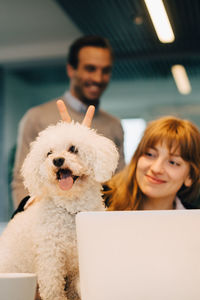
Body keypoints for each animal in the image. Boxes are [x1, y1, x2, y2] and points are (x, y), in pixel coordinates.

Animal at [0, 120, 118, 298]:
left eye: (73, 149)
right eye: (49, 153)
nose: (57, 160)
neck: (71, 210)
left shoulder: (77, 264)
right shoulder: (50, 259)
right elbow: (53, 289)